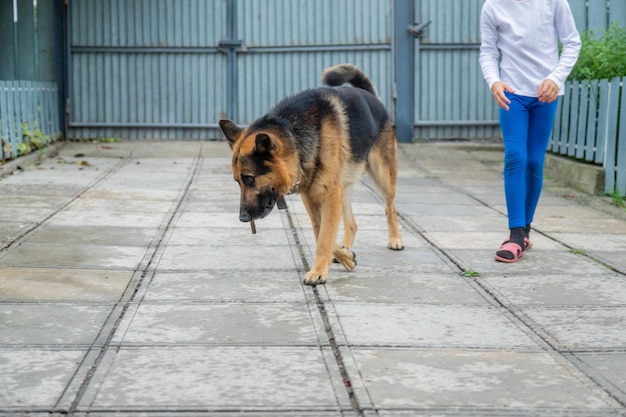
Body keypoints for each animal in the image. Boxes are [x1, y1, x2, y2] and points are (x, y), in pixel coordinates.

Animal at [219, 64, 402, 286]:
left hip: (383, 177)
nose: (243, 218)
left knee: (390, 208)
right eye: (238, 181)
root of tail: (370, 95)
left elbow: (325, 236)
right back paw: (346, 247)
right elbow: (320, 231)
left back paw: (395, 239)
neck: (295, 137)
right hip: (344, 190)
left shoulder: (330, 195)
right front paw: (344, 256)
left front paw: (318, 271)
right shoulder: (312, 197)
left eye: (250, 178)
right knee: (352, 224)